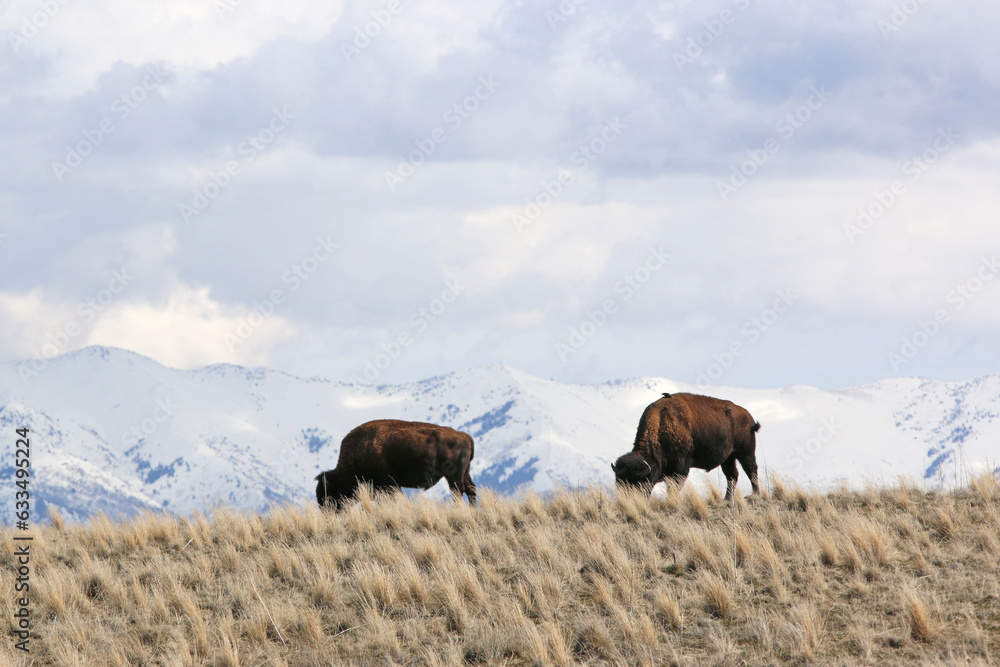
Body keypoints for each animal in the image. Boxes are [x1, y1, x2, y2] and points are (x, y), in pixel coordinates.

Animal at [318, 420, 478, 508]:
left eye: (329, 492)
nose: (326, 510)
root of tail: (464, 435)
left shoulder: (388, 484)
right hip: (464, 473)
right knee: (470, 489)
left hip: (453, 476)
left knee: (458, 491)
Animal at [608, 392, 764, 500]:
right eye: (619, 482)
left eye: (638, 482)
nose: (627, 498)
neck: (662, 423)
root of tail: (748, 417)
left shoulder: (681, 468)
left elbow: (675, 486)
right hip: (728, 458)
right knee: (732, 476)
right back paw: (726, 499)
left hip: (746, 452)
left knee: (751, 470)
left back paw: (754, 495)